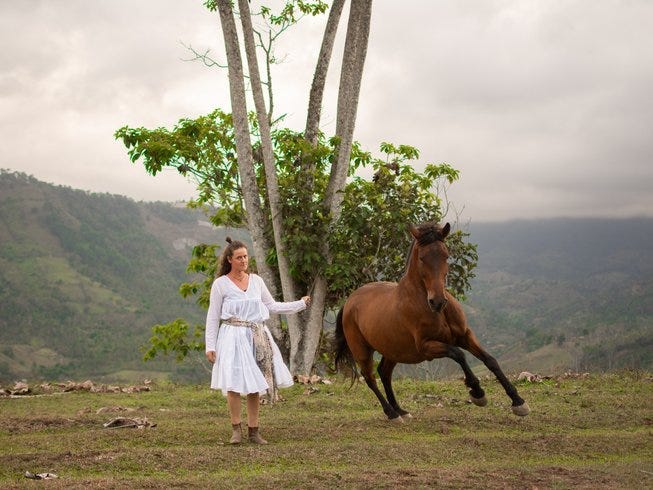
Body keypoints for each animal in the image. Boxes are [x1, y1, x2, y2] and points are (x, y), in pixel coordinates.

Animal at [334, 224, 528, 420]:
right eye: (422, 258)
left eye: (446, 255)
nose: (438, 301)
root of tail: (350, 301)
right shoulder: (426, 347)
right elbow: (458, 354)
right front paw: (477, 392)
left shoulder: (465, 336)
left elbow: (490, 360)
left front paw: (518, 402)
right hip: (362, 351)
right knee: (369, 378)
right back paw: (392, 414)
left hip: (394, 349)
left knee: (384, 372)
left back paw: (401, 411)